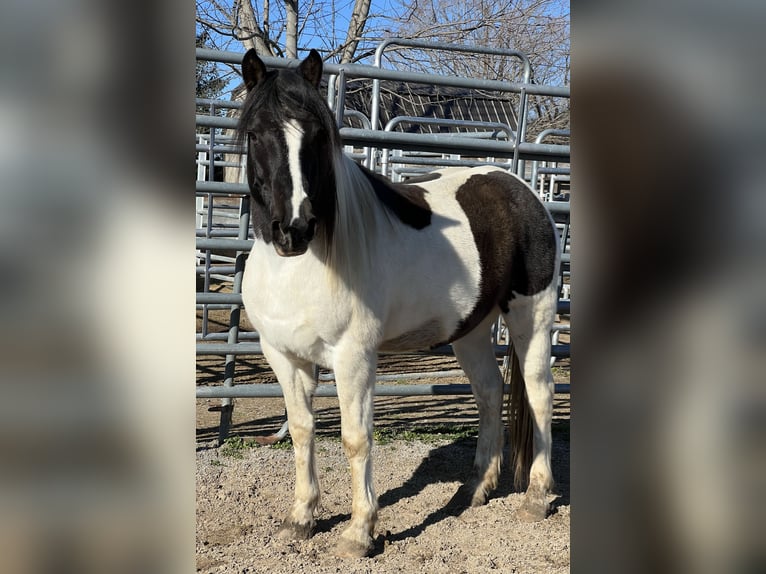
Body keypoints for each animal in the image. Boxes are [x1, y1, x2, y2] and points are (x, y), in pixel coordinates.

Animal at [237, 47, 560, 560]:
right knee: (489, 392)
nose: (294, 229)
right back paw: (476, 488)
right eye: (254, 134)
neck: (303, 269)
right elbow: (303, 430)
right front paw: (301, 518)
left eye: (317, 136)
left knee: (539, 393)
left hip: (532, 318)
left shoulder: (353, 358)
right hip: (470, 330)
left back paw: (536, 497)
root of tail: (521, 189)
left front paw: (359, 532)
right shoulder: (284, 356)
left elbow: (355, 438)